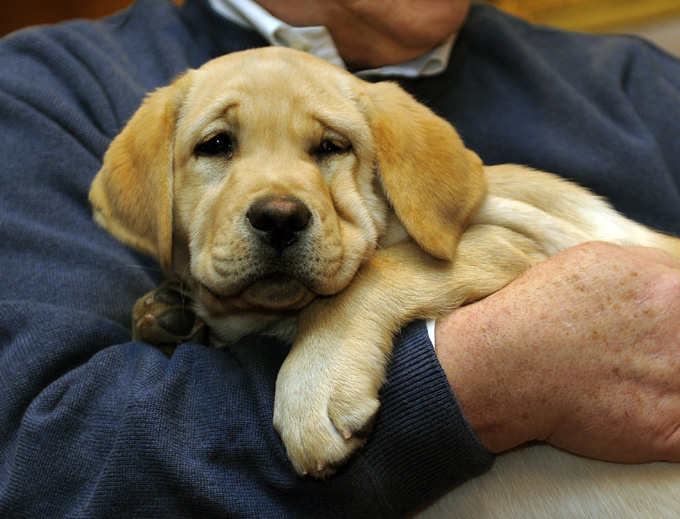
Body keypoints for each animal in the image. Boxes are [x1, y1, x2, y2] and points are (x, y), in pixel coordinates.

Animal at [93, 48, 680, 516]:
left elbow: (370, 273)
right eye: (215, 145)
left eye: (331, 147)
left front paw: (314, 385)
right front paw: (169, 315)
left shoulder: (529, 236)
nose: (280, 218)